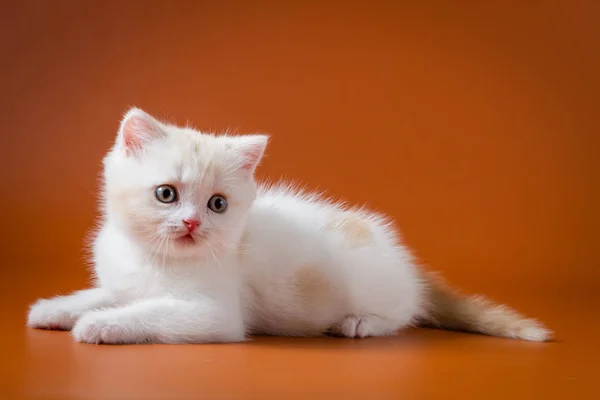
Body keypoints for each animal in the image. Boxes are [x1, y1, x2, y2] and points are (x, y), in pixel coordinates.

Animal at [28, 108, 552, 344]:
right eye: (166, 194)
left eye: (218, 204)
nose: (193, 222)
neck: (152, 256)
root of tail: (407, 262)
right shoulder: (124, 278)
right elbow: (108, 293)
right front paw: (56, 308)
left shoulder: (217, 314)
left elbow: (150, 312)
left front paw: (100, 324)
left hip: (380, 290)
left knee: (403, 314)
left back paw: (360, 323)